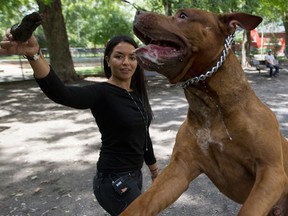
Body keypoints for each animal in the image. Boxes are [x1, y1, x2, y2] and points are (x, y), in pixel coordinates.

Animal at [120, 8, 288, 216]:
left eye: (183, 15)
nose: (138, 11)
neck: (210, 104)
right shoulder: (179, 171)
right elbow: (141, 204)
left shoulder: (271, 172)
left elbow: (248, 210)